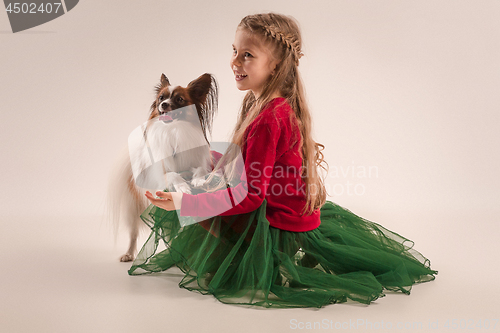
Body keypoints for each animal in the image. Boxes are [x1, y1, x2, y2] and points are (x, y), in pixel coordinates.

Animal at [108, 73, 218, 262]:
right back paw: (129, 254)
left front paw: (197, 180)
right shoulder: (158, 173)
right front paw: (182, 186)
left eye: (179, 99)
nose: (164, 104)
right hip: (133, 206)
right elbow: (172, 174)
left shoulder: (197, 161)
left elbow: (200, 170)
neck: (174, 131)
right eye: (161, 98)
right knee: (133, 232)